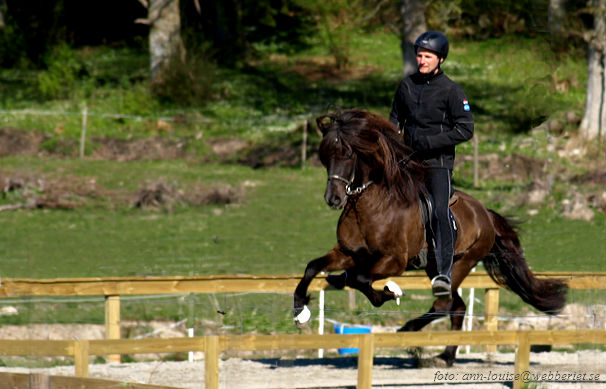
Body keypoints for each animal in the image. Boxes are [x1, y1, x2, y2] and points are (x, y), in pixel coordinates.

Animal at [294, 107, 568, 366]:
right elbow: (313, 267)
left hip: (460, 263)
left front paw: (389, 294)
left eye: (348, 154)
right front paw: (300, 310)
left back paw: (410, 330)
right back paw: (445, 356)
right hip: (435, 267)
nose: (333, 199)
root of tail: (485, 214)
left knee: (444, 305)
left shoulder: (394, 261)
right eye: (325, 157)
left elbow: (361, 279)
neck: (370, 205)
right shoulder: (348, 253)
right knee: (457, 306)